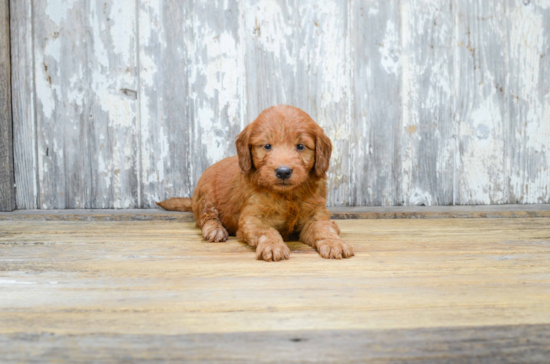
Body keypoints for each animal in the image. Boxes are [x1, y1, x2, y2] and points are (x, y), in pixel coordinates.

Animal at [156, 104, 354, 260]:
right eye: (267, 146)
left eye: (300, 146)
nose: (283, 171)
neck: (287, 195)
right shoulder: (251, 218)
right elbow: (267, 230)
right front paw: (273, 246)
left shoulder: (315, 214)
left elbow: (323, 228)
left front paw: (334, 243)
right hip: (205, 194)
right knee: (207, 217)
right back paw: (215, 230)